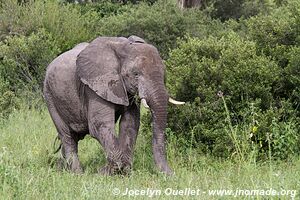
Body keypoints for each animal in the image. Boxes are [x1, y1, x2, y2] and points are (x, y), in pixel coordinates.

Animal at [43, 35, 184, 175]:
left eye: (164, 74)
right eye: (136, 74)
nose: (172, 174)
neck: (123, 47)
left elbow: (130, 123)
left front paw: (123, 171)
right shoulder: (94, 86)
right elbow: (100, 125)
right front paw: (108, 171)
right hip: (49, 95)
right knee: (67, 136)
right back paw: (77, 173)